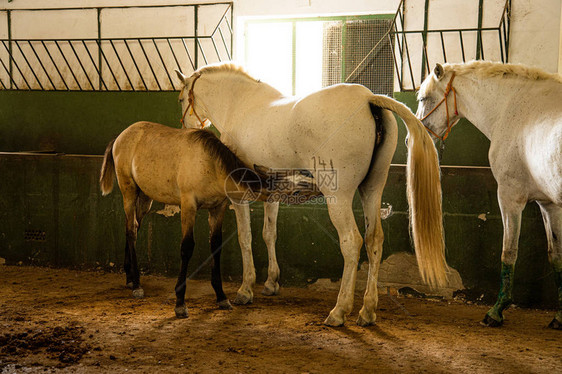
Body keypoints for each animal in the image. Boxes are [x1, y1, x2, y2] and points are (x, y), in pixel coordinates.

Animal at [175, 63, 446, 328]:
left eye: (180, 98)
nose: (186, 129)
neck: (240, 104)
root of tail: (368, 99)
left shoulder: (238, 196)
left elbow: (245, 238)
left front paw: (245, 289)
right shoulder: (272, 194)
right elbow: (269, 234)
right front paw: (271, 283)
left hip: (339, 198)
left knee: (351, 242)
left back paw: (339, 312)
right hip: (372, 189)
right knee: (373, 240)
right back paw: (367, 311)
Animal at [416, 61, 560, 330]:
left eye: (423, 98)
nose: (414, 136)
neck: (514, 108)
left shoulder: (509, 197)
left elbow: (508, 253)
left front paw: (496, 311)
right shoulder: (549, 205)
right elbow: (556, 255)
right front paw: (559, 317)